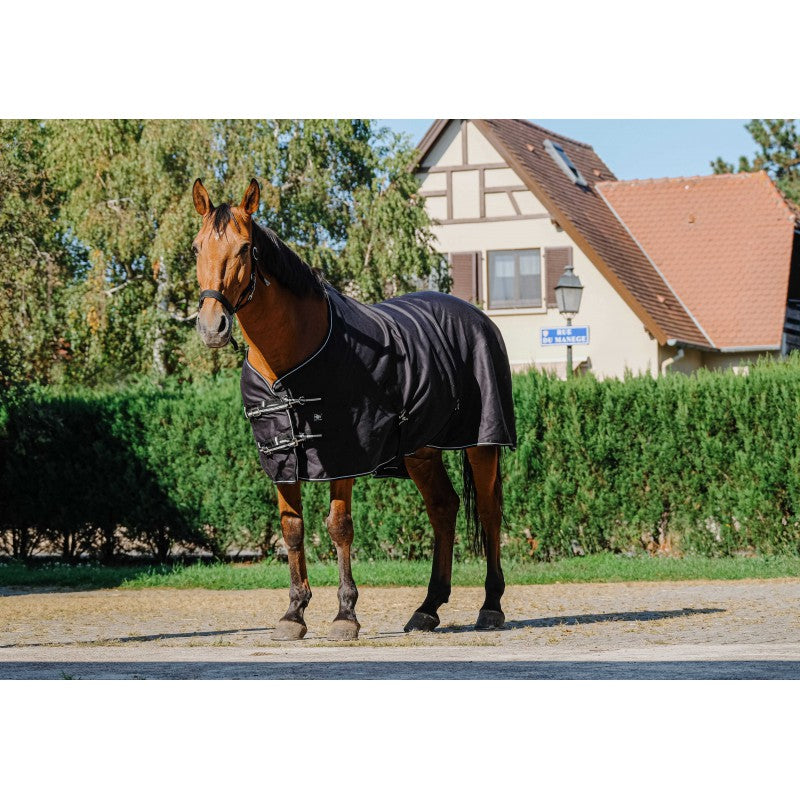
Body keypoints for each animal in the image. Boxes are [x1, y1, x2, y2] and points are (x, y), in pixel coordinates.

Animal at [192, 178, 517, 641]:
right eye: (196, 247)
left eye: (244, 247)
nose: (211, 326)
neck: (289, 359)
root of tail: (479, 317)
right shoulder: (281, 458)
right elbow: (292, 529)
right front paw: (293, 614)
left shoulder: (342, 457)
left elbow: (339, 527)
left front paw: (345, 616)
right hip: (421, 452)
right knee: (443, 508)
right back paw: (427, 608)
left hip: (481, 443)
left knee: (489, 513)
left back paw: (490, 606)